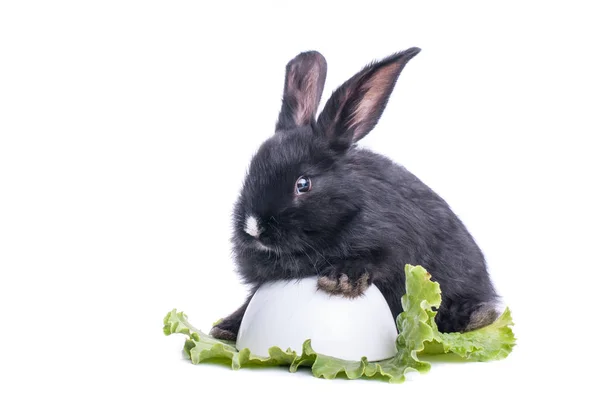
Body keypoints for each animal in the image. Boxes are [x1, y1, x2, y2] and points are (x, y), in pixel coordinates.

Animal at [209, 47, 500, 342]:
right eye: (251, 172)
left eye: (303, 184)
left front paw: (341, 281)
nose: (253, 228)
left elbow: (373, 260)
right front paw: (226, 327)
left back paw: (477, 317)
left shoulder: (392, 244)